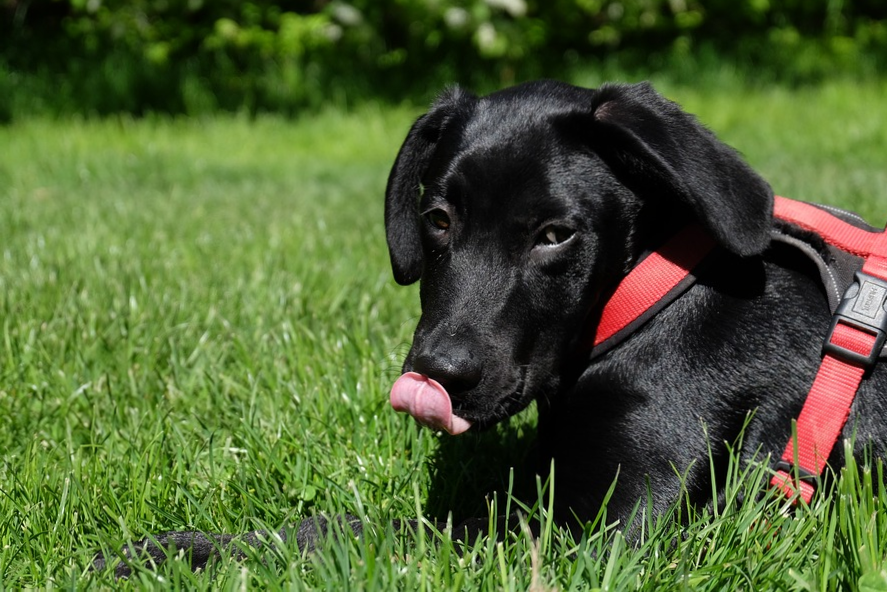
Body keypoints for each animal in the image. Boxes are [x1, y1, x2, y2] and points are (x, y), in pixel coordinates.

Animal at [93, 81, 887, 576]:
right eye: (438, 219)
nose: (437, 374)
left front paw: (180, 553)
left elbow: (376, 530)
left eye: (555, 234)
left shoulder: (597, 538)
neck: (644, 296)